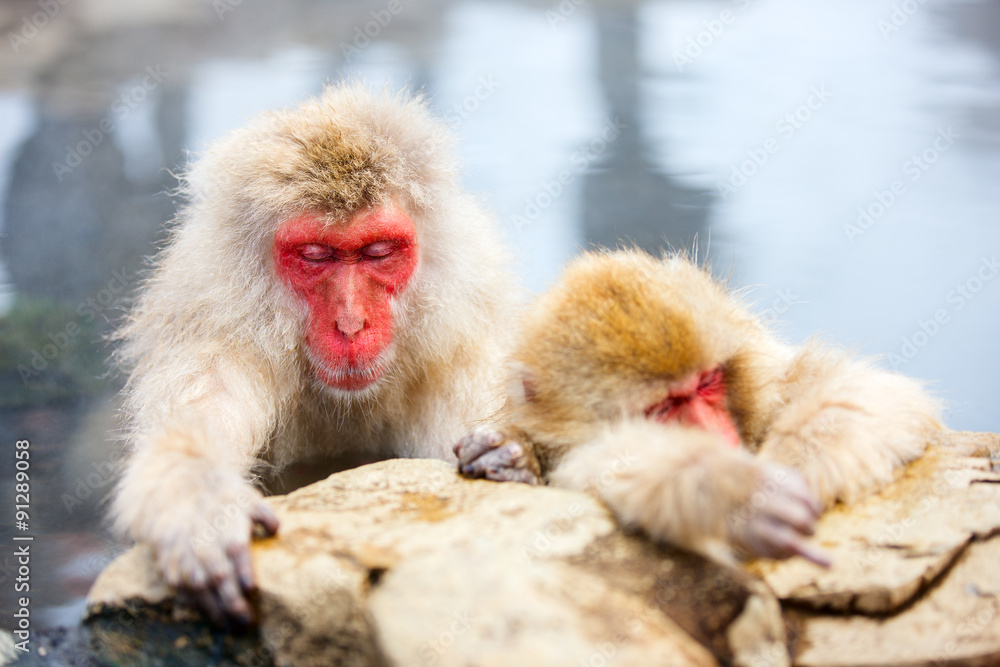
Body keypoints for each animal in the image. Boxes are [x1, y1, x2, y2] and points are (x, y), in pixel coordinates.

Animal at [110, 84, 518, 625]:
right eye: (315, 255)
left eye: (379, 251)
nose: (350, 323)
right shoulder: (217, 336)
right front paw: (202, 506)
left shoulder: (463, 352)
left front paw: (517, 454)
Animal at [455, 249, 942, 566]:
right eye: (663, 407)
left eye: (707, 382)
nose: (714, 431)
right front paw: (733, 494)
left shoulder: (772, 377)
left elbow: (874, 394)